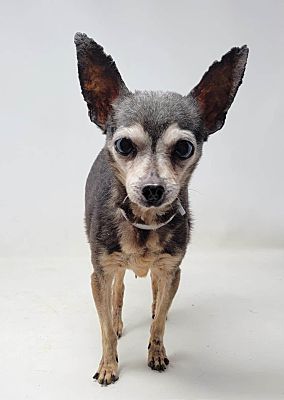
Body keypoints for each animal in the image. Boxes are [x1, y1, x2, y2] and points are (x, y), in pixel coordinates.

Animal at [74, 33, 247, 384]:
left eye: (184, 148)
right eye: (124, 145)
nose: (153, 189)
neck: (144, 223)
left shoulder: (172, 270)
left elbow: (159, 320)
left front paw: (156, 352)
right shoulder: (100, 274)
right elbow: (105, 327)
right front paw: (109, 365)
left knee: (155, 292)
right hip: (111, 270)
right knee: (119, 291)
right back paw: (118, 320)